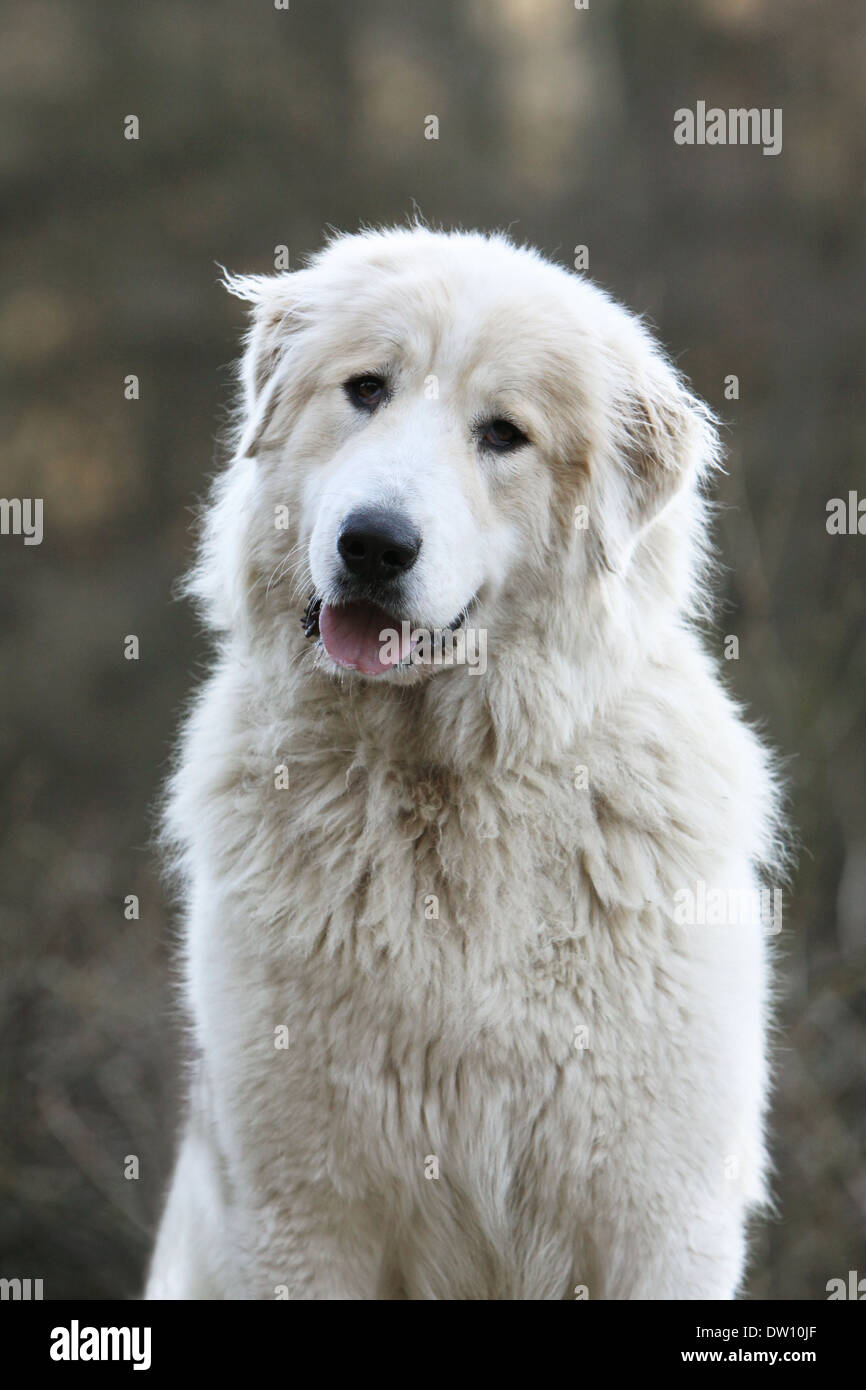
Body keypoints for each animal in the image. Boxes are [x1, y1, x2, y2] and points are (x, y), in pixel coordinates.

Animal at [145, 227, 783, 1301]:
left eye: (503, 435)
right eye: (367, 389)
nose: (373, 543)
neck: (448, 791)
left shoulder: (654, 1220)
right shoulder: (302, 1219)